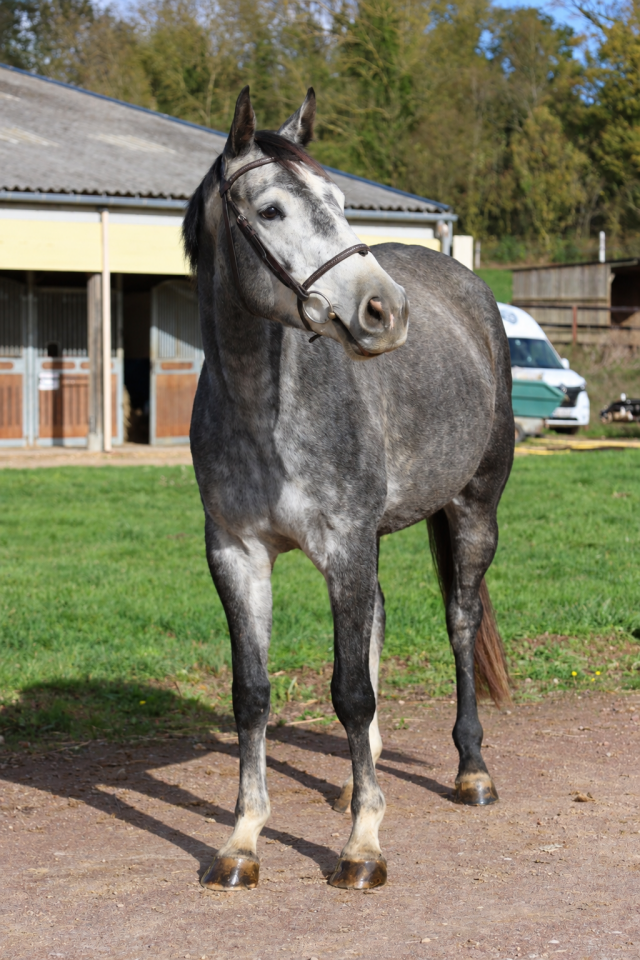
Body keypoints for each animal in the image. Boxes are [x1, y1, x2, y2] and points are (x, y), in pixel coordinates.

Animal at [183, 86, 514, 891]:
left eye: (337, 201)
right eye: (271, 210)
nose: (383, 311)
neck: (265, 409)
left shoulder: (345, 544)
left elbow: (349, 690)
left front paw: (364, 846)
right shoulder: (237, 554)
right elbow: (252, 694)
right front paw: (243, 840)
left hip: (473, 511)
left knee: (459, 622)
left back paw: (472, 770)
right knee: (380, 622)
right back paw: (356, 779)